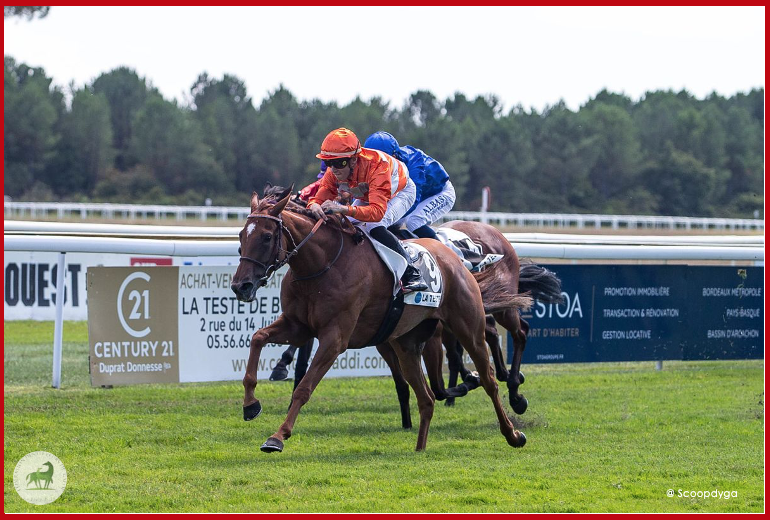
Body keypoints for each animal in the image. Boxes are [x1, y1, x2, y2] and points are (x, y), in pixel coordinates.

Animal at [228, 187, 532, 450]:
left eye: (267, 237)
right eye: (242, 235)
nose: (241, 286)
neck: (323, 265)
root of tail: (457, 258)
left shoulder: (335, 338)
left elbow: (304, 387)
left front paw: (277, 436)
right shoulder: (298, 326)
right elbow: (257, 338)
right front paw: (250, 404)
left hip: (467, 326)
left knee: (491, 376)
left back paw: (513, 426)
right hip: (407, 343)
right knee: (427, 397)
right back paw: (420, 448)